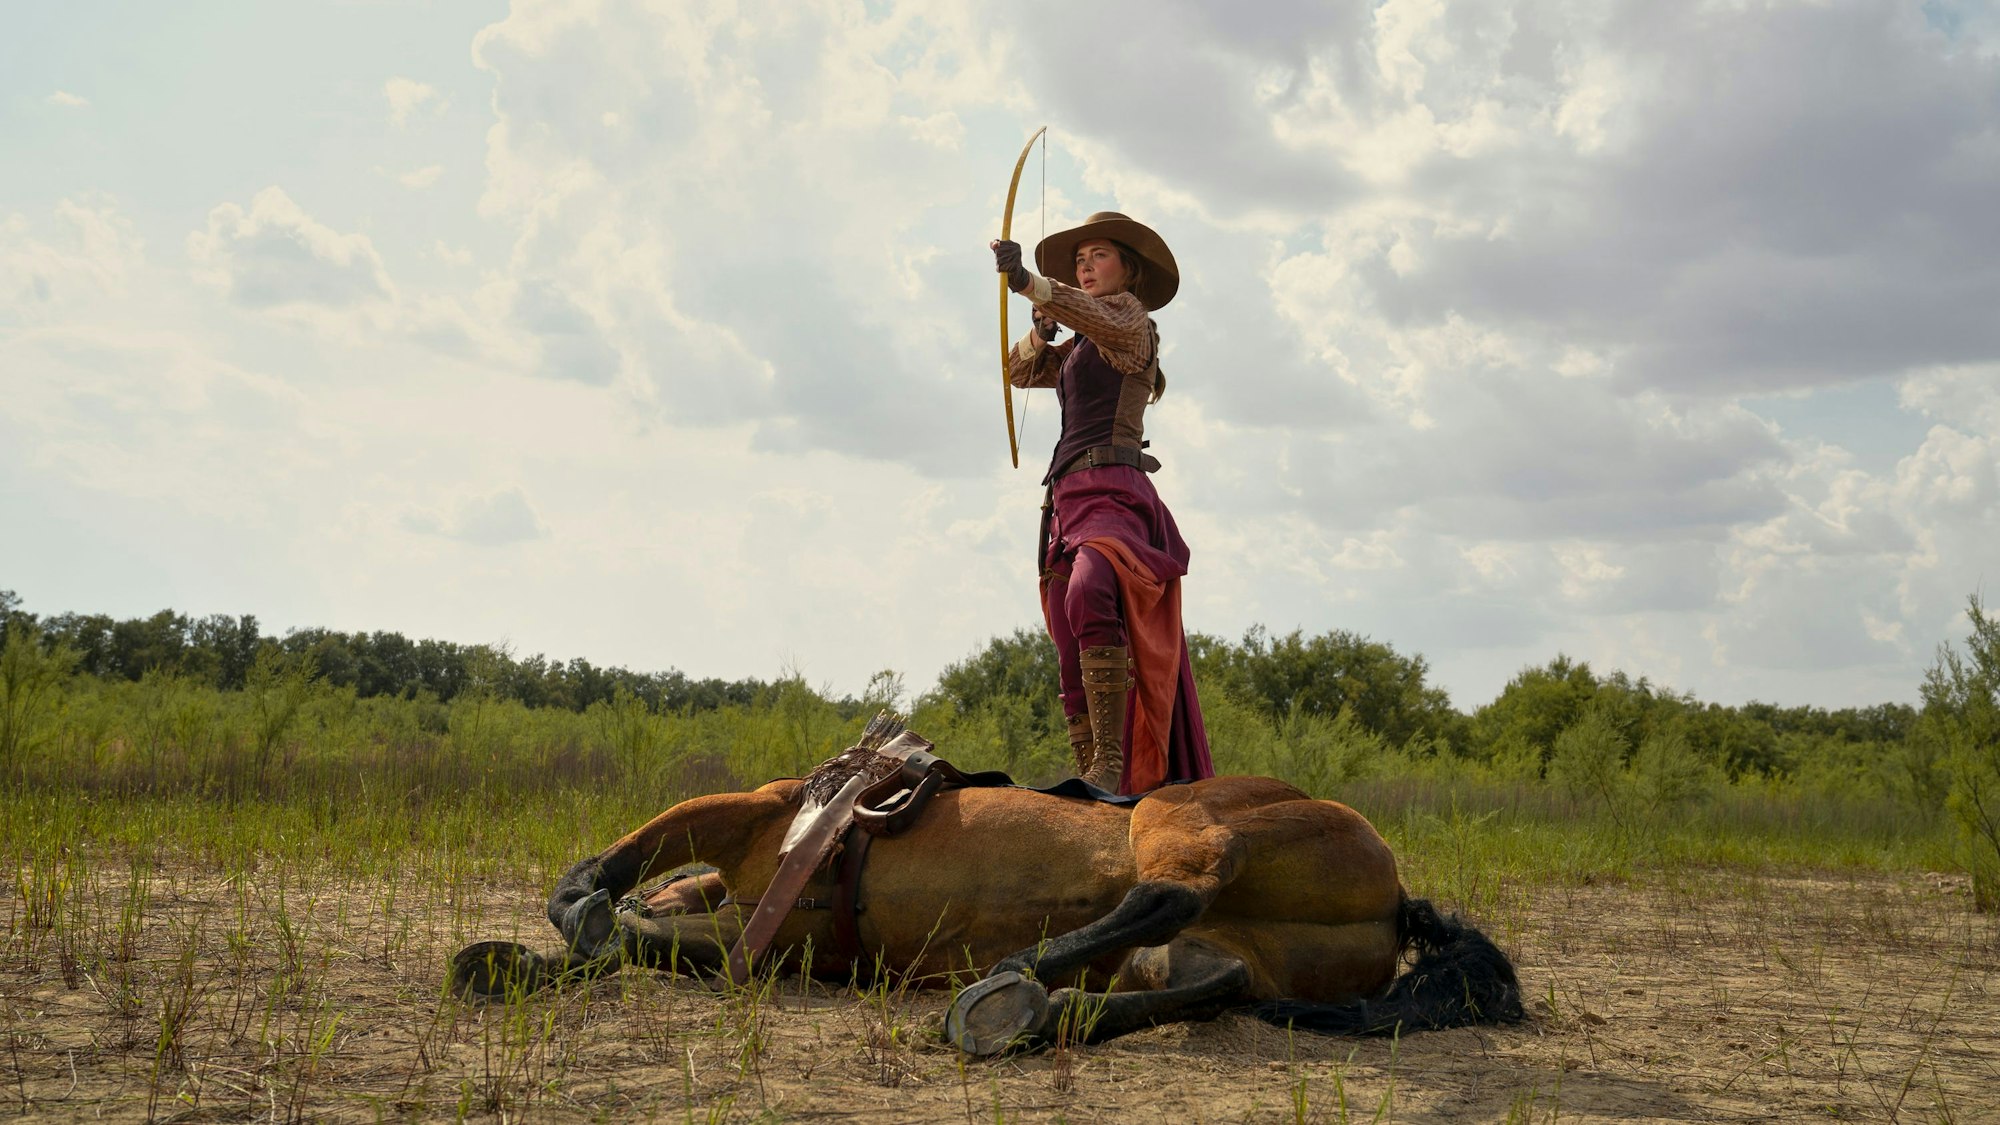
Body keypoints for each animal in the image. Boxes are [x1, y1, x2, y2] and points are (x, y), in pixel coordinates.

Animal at [450, 719, 1522, 1054]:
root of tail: (1395, 899)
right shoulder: (772, 940)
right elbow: (656, 936)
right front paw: (521, 963)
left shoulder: (742, 814)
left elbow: (599, 881)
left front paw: (563, 932)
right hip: (1208, 958)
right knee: (1196, 981)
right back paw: (1029, 1011)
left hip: (1183, 816)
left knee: (1174, 888)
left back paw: (1006, 986)